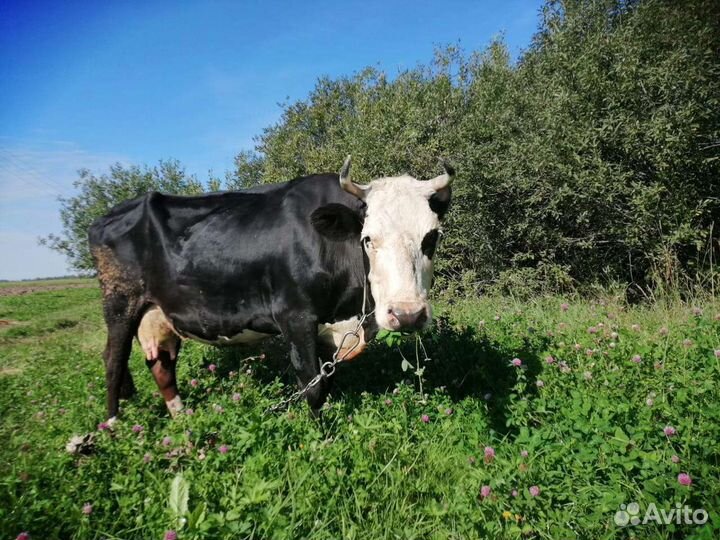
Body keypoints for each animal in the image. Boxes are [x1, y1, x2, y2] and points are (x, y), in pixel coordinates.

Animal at [88, 156, 453, 420]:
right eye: (367, 239)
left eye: (431, 237)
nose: (407, 314)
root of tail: (108, 216)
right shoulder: (295, 317)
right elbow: (312, 387)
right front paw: (322, 441)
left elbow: (326, 381)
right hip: (119, 303)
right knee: (113, 361)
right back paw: (112, 426)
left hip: (159, 313)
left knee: (161, 364)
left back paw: (182, 418)